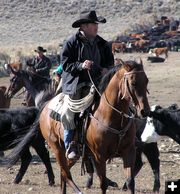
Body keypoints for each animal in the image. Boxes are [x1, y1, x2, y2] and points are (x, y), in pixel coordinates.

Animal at [4, 59, 150, 193]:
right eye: (133, 82)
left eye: (146, 81)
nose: (144, 111)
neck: (110, 116)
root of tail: (45, 107)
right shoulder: (99, 156)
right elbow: (102, 183)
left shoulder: (128, 152)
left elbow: (130, 182)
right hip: (57, 147)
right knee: (66, 174)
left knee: (64, 172)